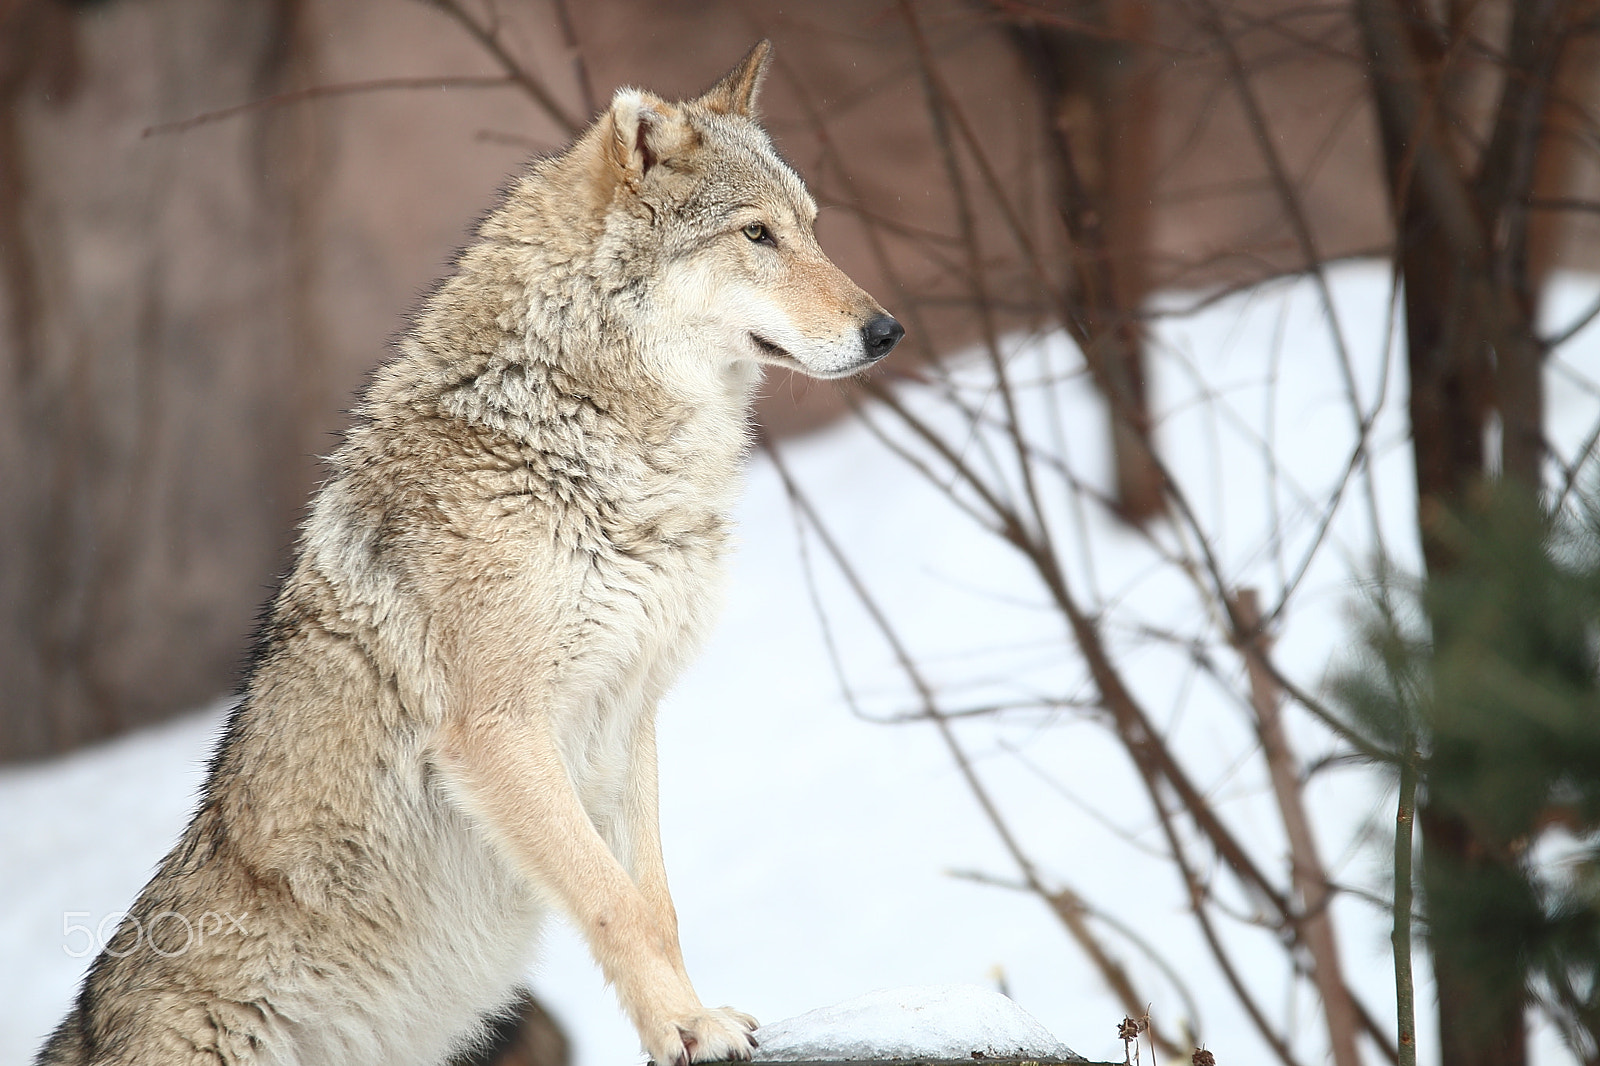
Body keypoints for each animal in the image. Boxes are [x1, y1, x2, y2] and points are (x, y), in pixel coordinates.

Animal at [38, 40, 901, 1066]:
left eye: (810, 230)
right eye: (756, 235)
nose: (888, 330)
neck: (574, 437)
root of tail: (87, 1024)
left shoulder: (628, 714)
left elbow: (657, 905)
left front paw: (687, 1024)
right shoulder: (500, 732)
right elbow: (616, 907)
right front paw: (688, 1031)